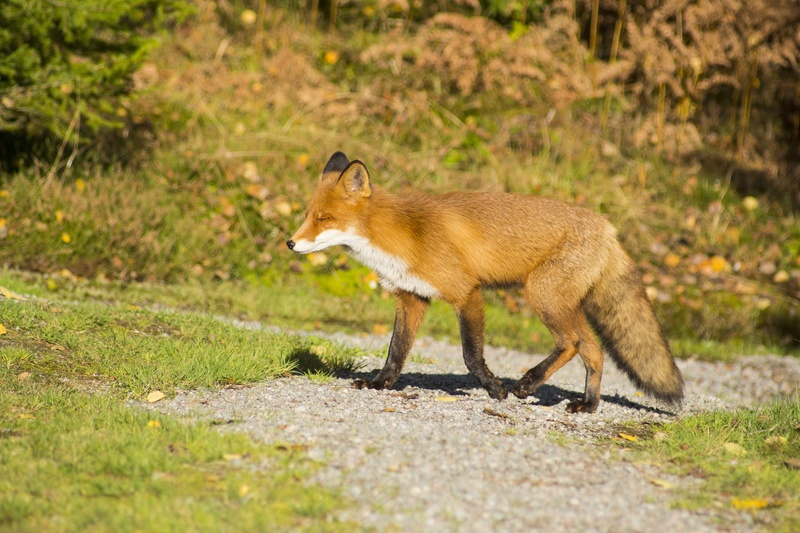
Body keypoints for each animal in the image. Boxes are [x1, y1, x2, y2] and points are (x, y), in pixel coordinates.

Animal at [284, 152, 684, 414]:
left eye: (324, 218)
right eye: (307, 215)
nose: (290, 243)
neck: (403, 236)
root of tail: (608, 227)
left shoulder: (466, 292)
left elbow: (471, 355)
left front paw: (495, 389)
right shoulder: (411, 297)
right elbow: (395, 351)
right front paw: (380, 383)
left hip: (542, 296)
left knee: (571, 343)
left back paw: (528, 383)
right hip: (561, 303)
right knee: (595, 350)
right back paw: (588, 404)